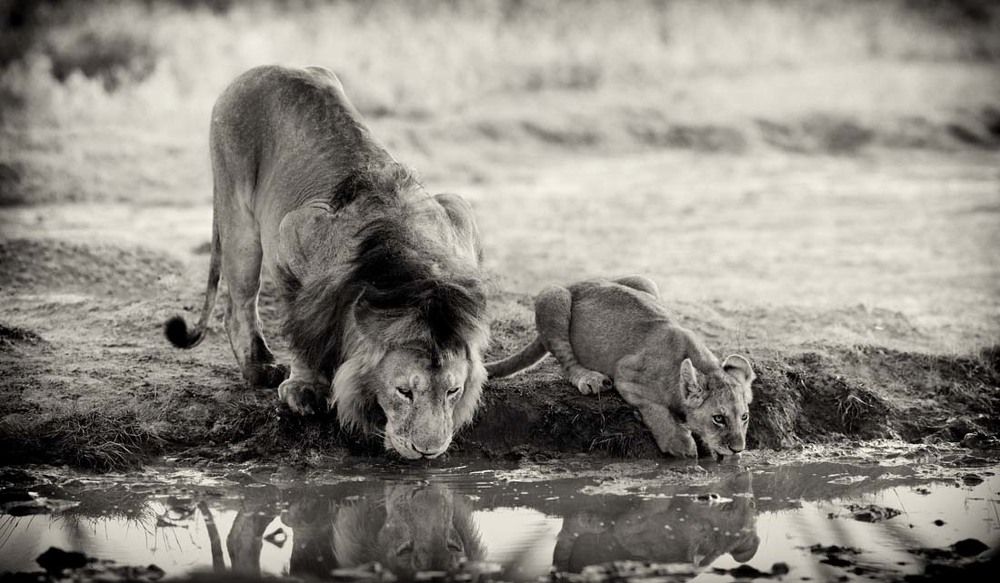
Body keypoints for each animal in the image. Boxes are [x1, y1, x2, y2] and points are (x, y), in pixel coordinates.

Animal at [164, 65, 489, 459]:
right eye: (405, 392)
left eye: (452, 391)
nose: (428, 450)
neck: (410, 269)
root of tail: (264, 68)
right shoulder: (292, 234)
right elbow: (302, 328)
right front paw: (304, 390)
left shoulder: (458, 213)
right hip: (238, 217)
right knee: (238, 305)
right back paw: (260, 368)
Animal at [486, 277, 755, 459]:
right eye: (718, 418)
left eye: (744, 417)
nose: (738, 448)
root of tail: (578, 282)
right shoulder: (626, 374)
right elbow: (655, 410)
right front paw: (679, 443)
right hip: (553, 296)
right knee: (567, 361)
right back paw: (590, 379)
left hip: (645, 281)